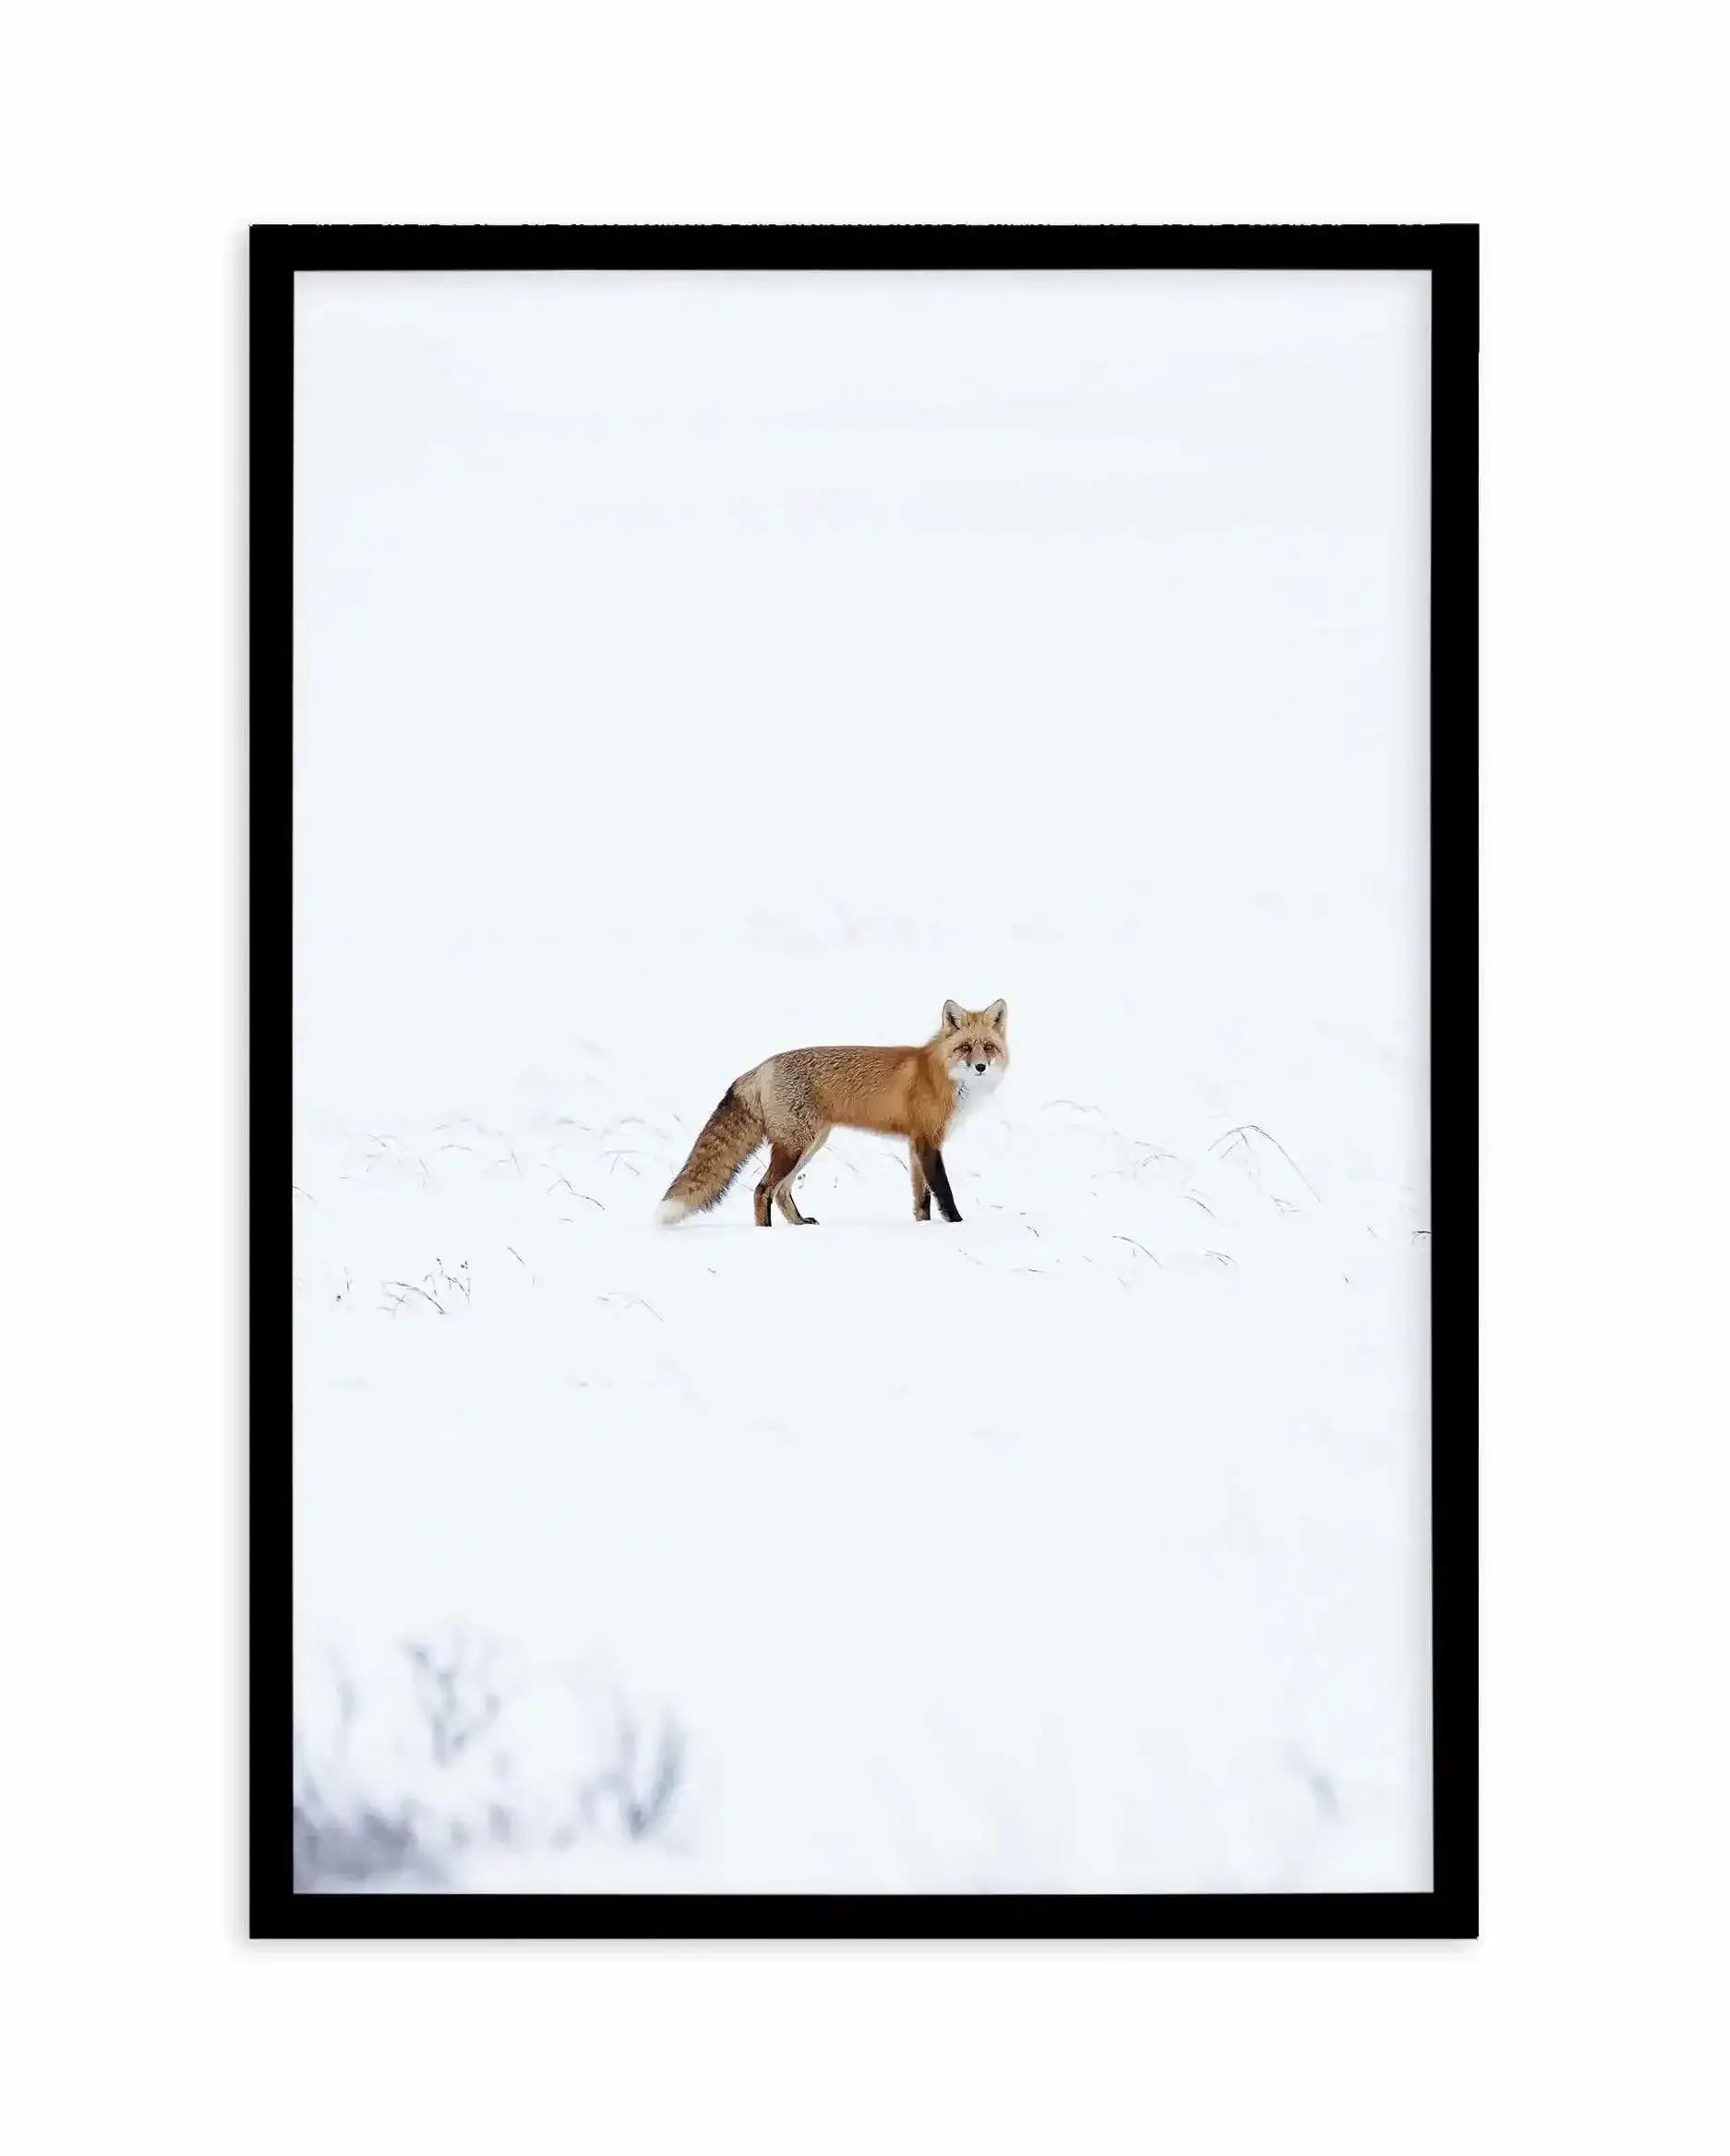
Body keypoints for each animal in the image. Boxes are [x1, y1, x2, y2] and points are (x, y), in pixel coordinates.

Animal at [656, 998, 1009, 1227]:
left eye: (988, 1048)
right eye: (965, 1048)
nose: (979, 1067)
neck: (942, 1075)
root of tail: (762, 1066)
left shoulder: (915, 1145)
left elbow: (921, 1199)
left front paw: (923, 1228)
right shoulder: (928, 1142)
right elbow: (944, 1193)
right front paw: (957, 1226)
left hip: (810, 1145)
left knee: (781, 1191)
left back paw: (800, 1224)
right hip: (795, 1145)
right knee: (763, 1189)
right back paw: (766, 1233)